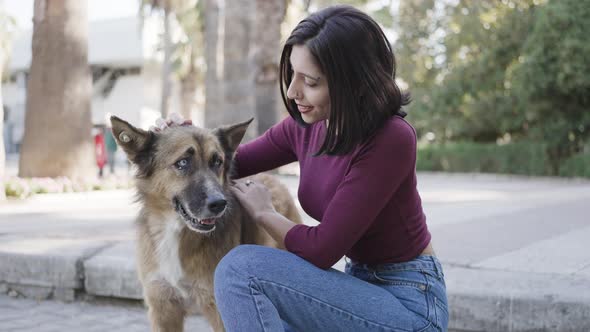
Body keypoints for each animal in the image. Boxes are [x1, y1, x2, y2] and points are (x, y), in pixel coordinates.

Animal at [111, 115, 302, 330]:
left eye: (217, 161)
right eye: (183, 162)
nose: (219, 203)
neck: (174, 230)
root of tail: (272, 178)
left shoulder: (219, 310)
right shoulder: (163, 307)